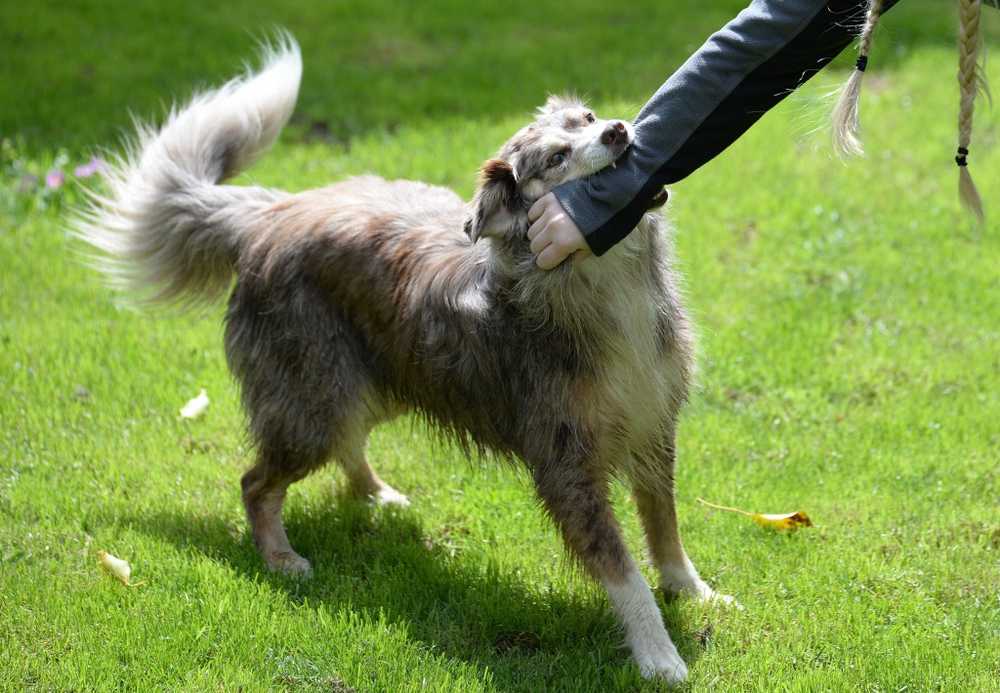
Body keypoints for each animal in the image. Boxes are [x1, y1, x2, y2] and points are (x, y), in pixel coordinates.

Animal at [74, 36, 736, 680]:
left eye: (589, 120)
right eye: (555, 159)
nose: (620, 131)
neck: (602, 281)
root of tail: (273, 212)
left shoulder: (654, 425)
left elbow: (664, 523)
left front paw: (692, 591)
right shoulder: (566, 464)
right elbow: (623, 571)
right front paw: (659, 655)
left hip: (379, 380)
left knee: (348, 441)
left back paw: (374, 494)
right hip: (313, 404)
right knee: (257, 482)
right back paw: (281, 556)